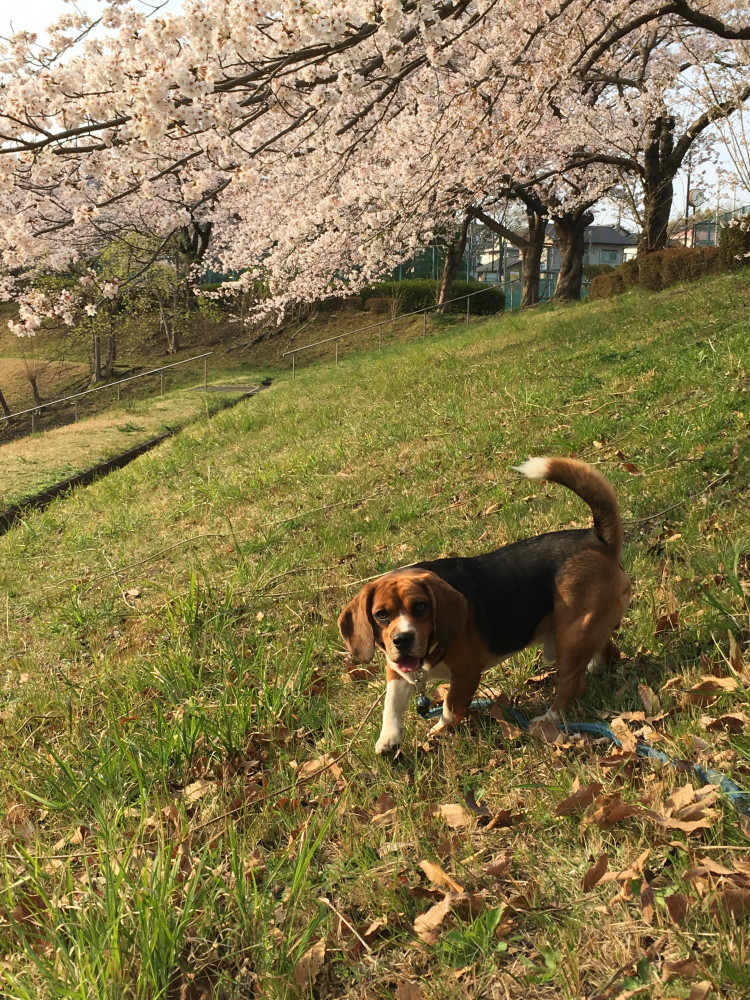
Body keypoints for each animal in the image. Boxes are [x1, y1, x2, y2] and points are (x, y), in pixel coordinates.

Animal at [340, 458, 636, 752]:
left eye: (421, 607)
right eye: (381, 615)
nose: (402, 639)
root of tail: (597, 538)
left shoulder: (466, 674)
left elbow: (449, 708)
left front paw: (439, 731)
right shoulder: (397, 671)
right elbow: (391, 705)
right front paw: (388, 738)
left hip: (572, 636)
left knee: (571, 686)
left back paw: (548, 718)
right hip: (581, 630)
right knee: (605, 651)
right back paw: (597, 667)